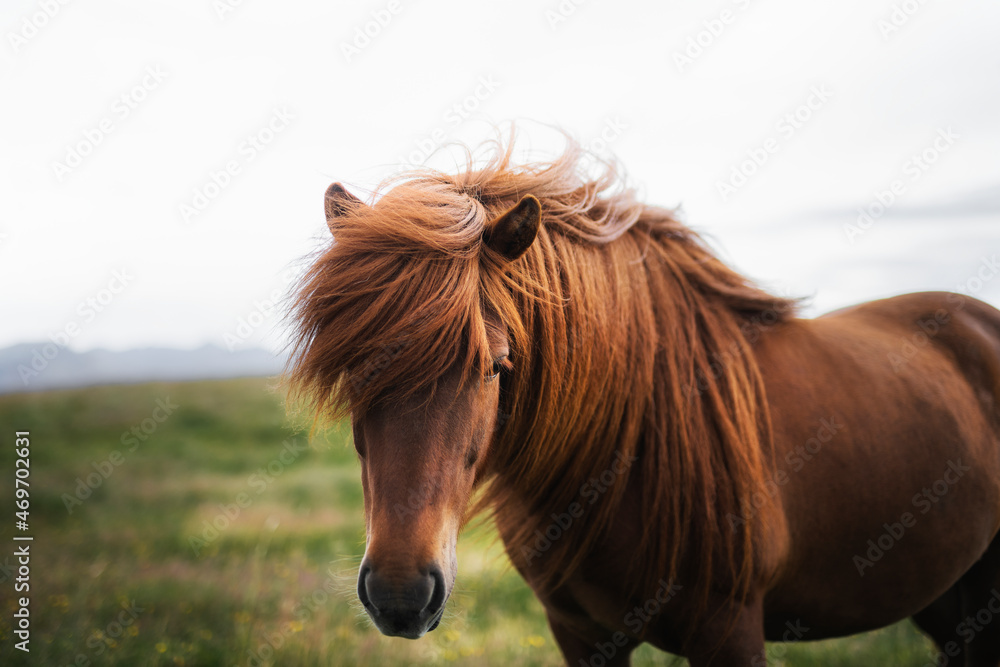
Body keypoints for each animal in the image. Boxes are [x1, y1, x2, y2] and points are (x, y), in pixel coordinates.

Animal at [286, 138, 1000, 664]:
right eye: (352, 370)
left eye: (496, 366)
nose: (401, 594)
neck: (625, 452)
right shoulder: (580, 634)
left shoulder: (730, 631)